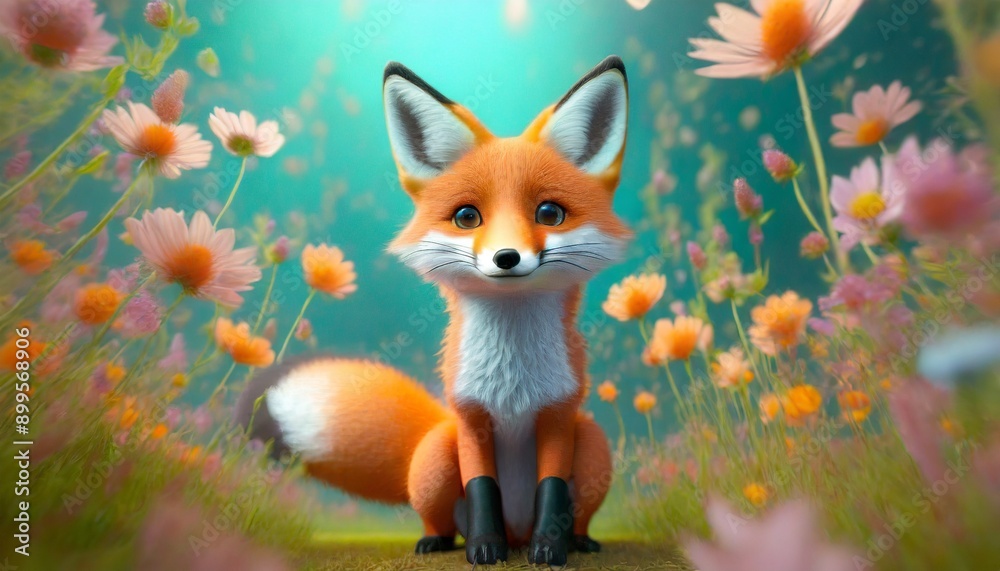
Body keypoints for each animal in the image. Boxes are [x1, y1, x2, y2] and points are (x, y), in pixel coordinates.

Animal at [236, 55, 632, 565]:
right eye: (467, 217)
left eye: (549, 213)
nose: (507, 257)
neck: (514, 384)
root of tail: (517, 530)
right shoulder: (469, 418)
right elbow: (482, 488)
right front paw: (484, 548)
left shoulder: (560, 415)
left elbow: (553, 488)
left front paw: (550, 548)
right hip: (436, 454)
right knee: (438, 517)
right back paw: (438, 541)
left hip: (595, 444)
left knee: (575, 510)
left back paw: (577, 539)